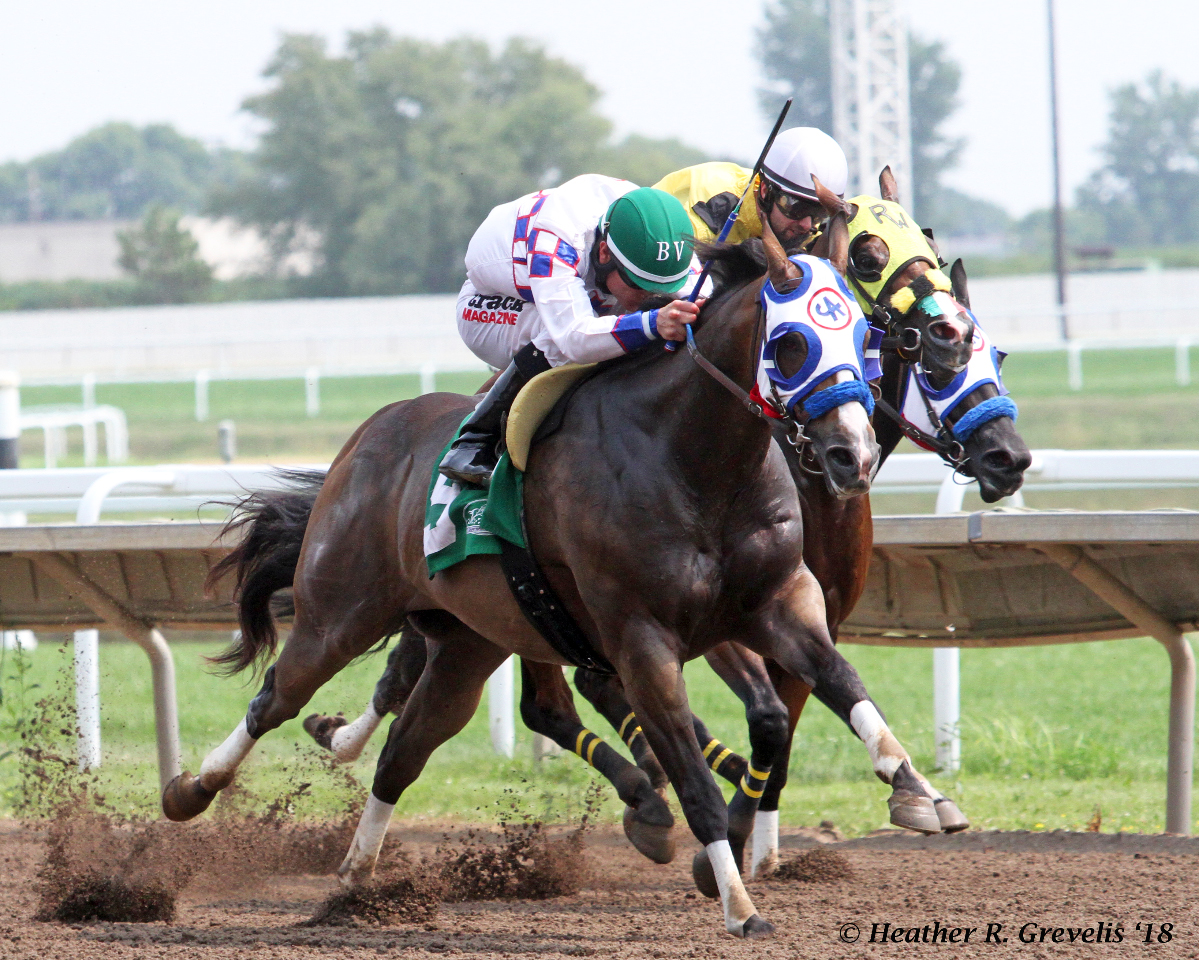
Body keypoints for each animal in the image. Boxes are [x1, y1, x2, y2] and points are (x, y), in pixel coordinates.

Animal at [171, 203, 925, 934]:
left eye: (866, 336)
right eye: (792, 343)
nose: (851, 456)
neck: (697, 463)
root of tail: (368, 434)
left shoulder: (772, 603)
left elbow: (822, 688)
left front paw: (912, 786)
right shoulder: (641, 640)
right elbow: (695, 780)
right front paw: (739, 905)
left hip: (468, 643)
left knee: (403, 752)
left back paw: (358, 881)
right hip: (340, 610)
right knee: (277, 697)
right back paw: (189, 791)